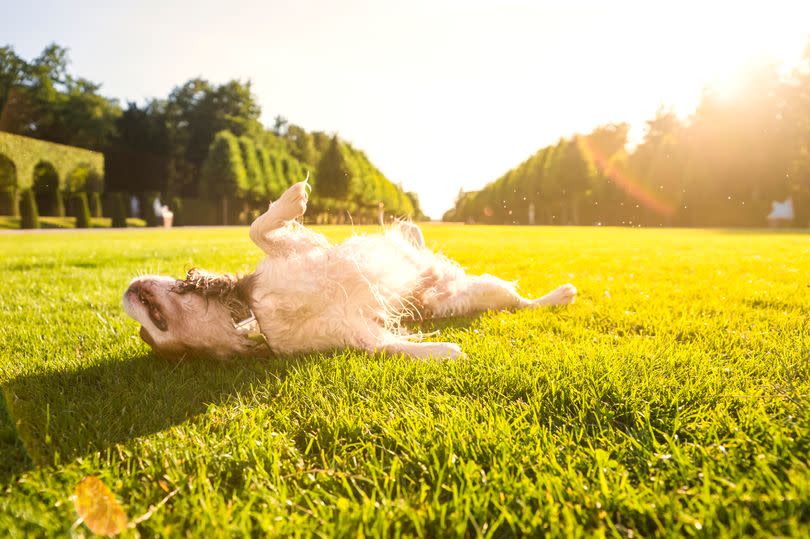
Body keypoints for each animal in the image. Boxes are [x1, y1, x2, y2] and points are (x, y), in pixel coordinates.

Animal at [121, 179, 576, 360]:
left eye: (148, 328)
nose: (126, 293)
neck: (260, 314)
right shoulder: (356, 333)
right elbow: (391, 347)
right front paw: (443, 351)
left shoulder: (297, 251)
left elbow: (259, 228)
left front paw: (293, 198)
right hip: (478, 293)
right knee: (520, 304)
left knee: (526, 301)